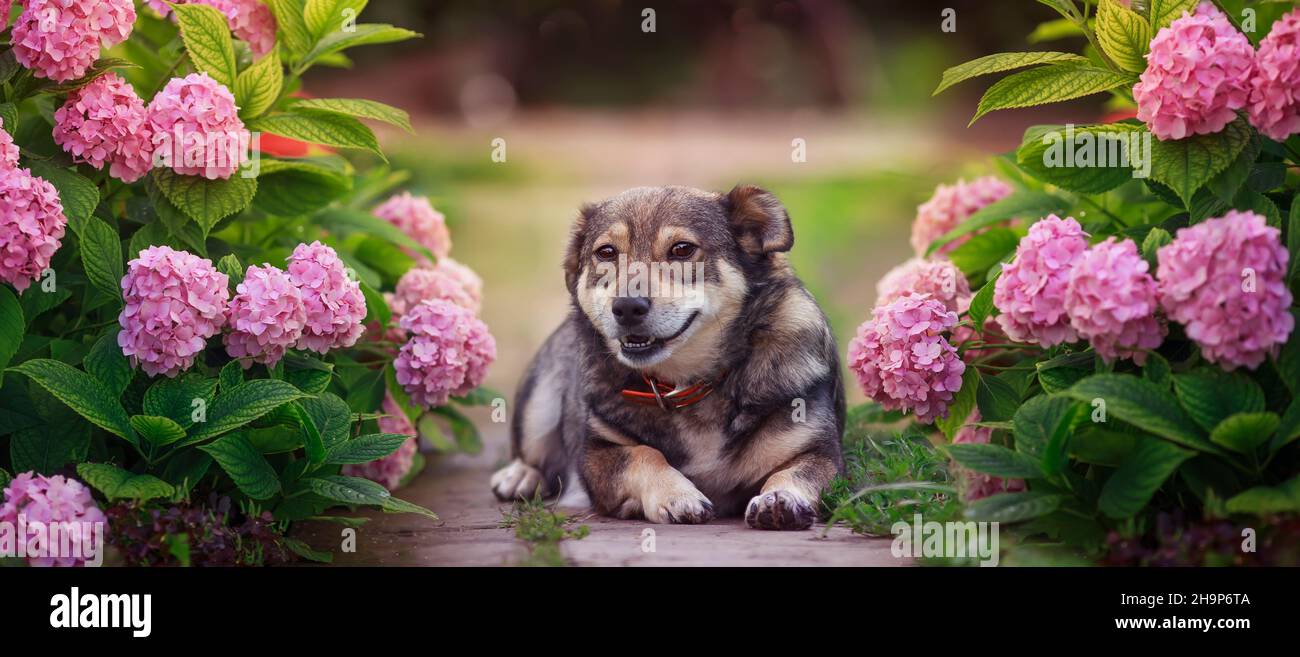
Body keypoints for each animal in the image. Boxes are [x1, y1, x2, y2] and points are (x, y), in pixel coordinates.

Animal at [491, 184, 847, 528]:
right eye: (606, 252)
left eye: (682, 249)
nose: (627, 307)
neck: (691, 384)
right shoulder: (596, 455)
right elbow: (643, 455)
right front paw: (677, 495)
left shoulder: (822, 453)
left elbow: (795, 471)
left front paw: (781, 498)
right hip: (539, 398)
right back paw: (520, 475)